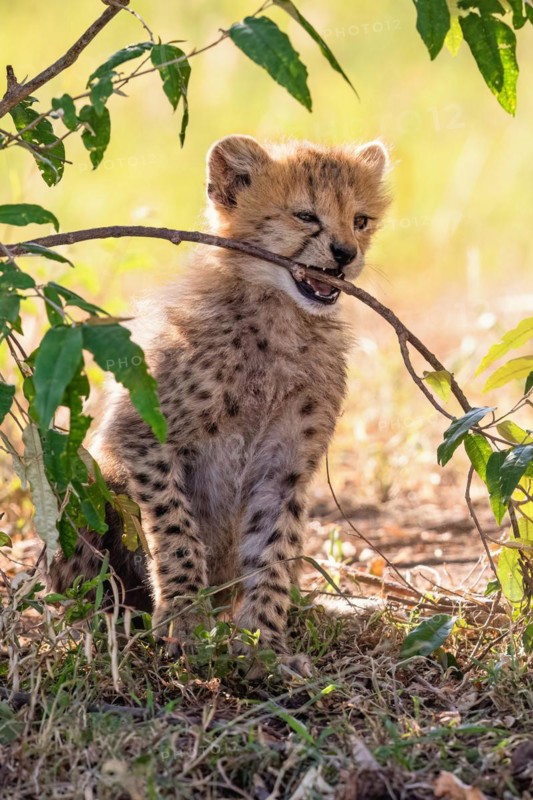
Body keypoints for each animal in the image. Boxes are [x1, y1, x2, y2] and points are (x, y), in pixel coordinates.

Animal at [49, 134, 390, 674]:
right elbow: (176, 529)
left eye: (360, 219)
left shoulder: (283, 466)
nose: (344, 254)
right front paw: (186, 619)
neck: (279, 316)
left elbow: (272, 549)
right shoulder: (141, 435)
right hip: (78, 482)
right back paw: (109, 629)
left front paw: (264, 643)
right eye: (305, 215)